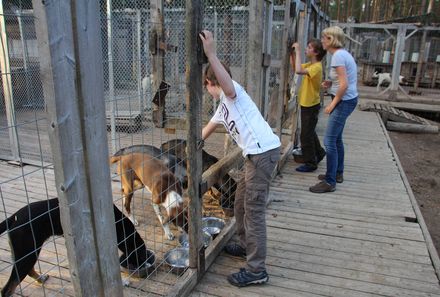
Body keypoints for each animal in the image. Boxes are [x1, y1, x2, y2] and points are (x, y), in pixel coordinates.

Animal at [0, 197, 150, 296]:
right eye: (140, 255)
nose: (145, 264)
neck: (118, 224)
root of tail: (14, 217)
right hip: (28, 252)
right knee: (7, 289)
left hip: (27, 252)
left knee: (27, 271)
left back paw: (41, 279)